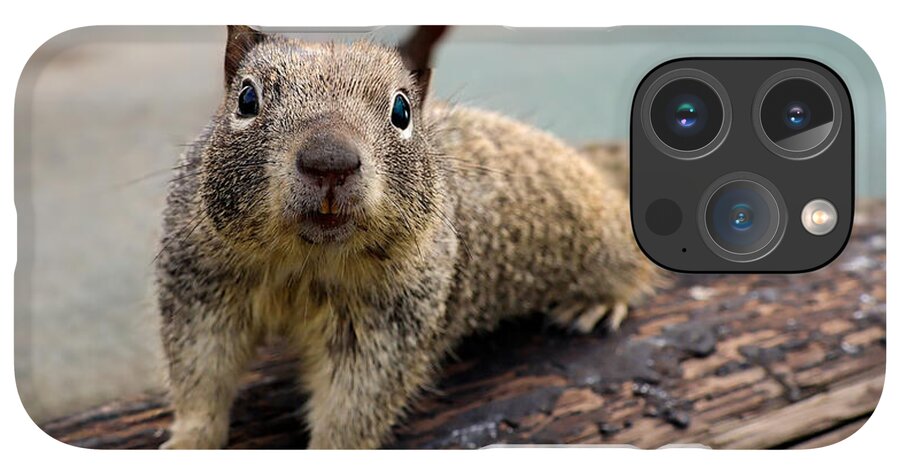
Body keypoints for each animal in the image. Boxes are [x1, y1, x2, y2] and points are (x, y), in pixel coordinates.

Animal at [157, 25, 661, 449]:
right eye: (247, 98)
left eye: (402, 111)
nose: (329, 161)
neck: (307, 262)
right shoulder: (201, 286)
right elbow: (201, 375)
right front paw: (187, 443)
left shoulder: (390, 322)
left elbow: (354, 404)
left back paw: (596, 302)